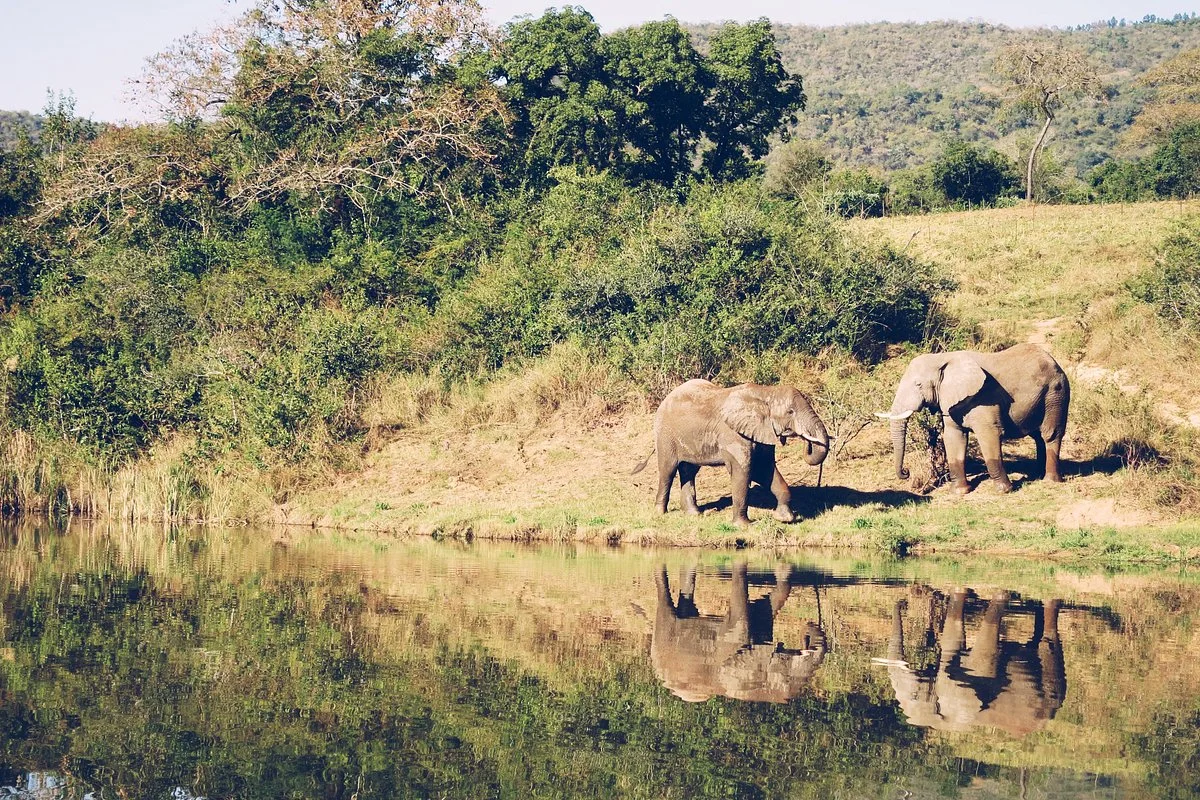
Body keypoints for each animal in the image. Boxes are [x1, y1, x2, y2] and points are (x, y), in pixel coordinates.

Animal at [633, 379, 830, 526]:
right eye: (790, 411)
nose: (807, 441)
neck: (766, 393)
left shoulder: (761, 433)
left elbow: (766, 471)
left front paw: (785, 519)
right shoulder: (734, 435)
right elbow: (743, 472)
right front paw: (744, 526)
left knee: (689, 470)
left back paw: (694, 514)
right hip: (665, 435)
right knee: (668, 470)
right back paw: (660, 513)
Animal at [877, 343, 1070, 494]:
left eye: (918, 384)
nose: (906, 472)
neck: (943, 358)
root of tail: (1053, 360)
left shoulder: (983, 398)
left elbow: (989, 435)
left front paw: (1004, 491)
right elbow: (954, 437)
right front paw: (960, 492)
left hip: (1056, 393)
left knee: (1050, 434)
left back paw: (1050, 480)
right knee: (1038, 437)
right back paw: (1038, 475)